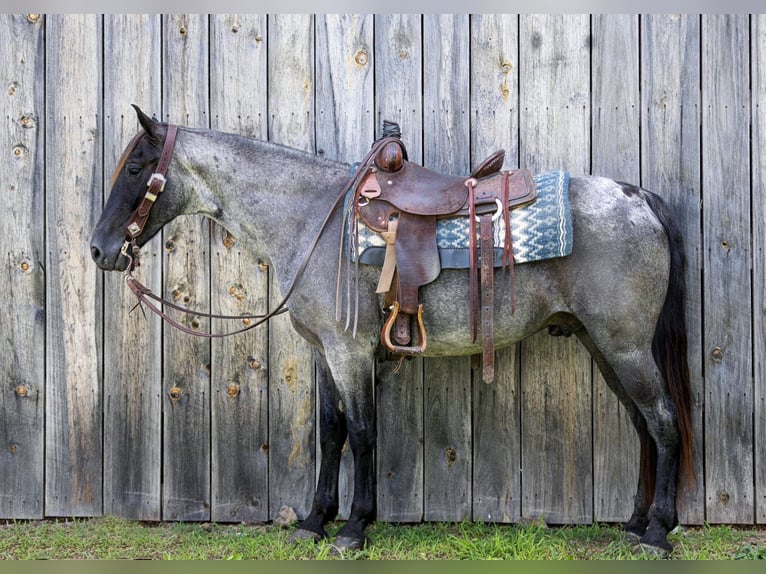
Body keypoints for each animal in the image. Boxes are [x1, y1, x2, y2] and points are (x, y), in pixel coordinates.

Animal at [90, 106, 696, 556]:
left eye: (137, 166)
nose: (99, 250)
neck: (313, 219)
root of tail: (638, 198)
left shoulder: (349, 351)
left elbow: (362, 432)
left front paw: (355, 528)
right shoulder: (325, 354)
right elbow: (331, 432)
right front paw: (314, 522)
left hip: (625, 347)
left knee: (664, 422)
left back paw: (658, 533)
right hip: (604, 345)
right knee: (643, 425)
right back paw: (635, 523)